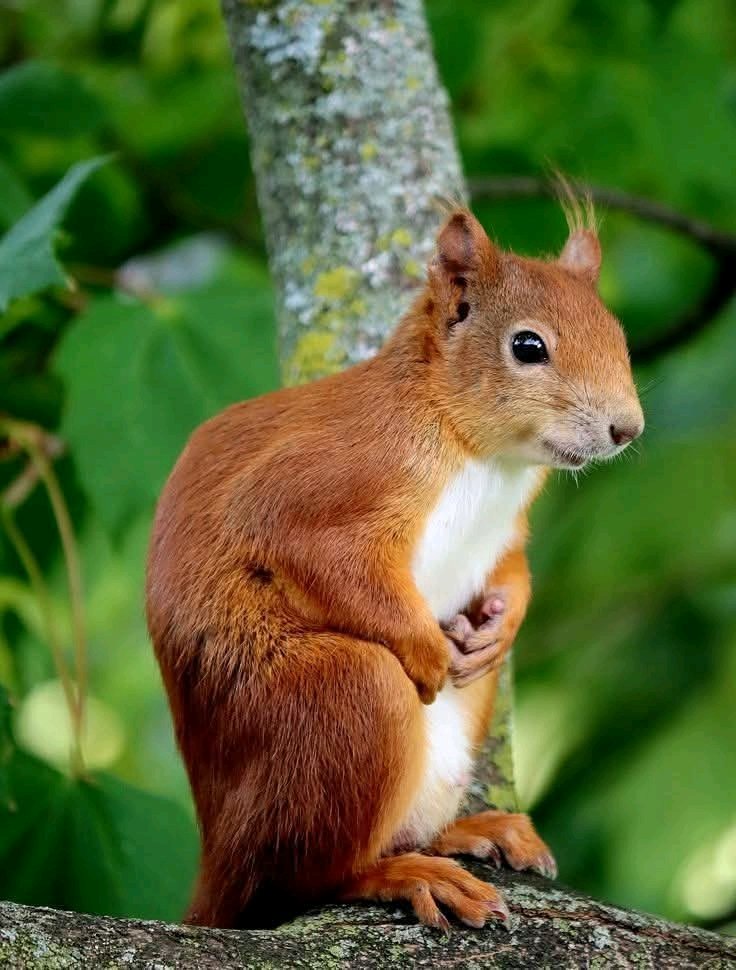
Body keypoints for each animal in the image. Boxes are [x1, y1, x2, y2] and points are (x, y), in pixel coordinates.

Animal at [146, 205, 644, 931]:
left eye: (618, 335)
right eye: (528, 347)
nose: (627, 429)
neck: (487, 458)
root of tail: (216, 857)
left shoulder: (508, 530)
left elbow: (512, 569)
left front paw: (499, 627)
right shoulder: (323, 483)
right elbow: (327, 559)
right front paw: (427, 649)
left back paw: (469, 831)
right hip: (342, 698)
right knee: (298, 880)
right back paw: (400, 873)